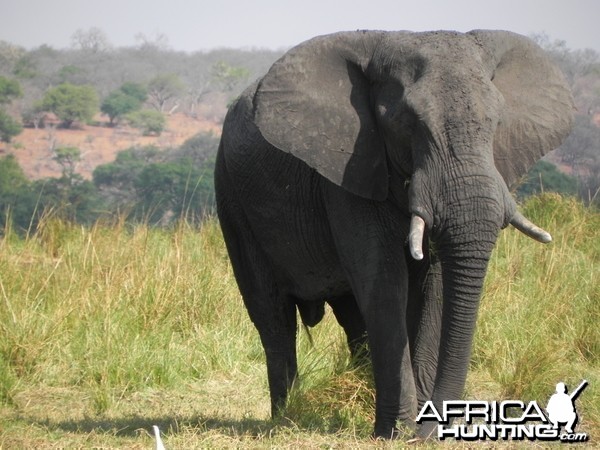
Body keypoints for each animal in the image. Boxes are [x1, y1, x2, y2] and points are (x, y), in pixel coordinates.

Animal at [213, 29, 576, 440]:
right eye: (407, 124)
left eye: (497, 123)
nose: (435, 426)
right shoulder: (349, 168)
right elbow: (384, 281)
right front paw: (398, 433)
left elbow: (434, 284)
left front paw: (419, 429)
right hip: (231, 198)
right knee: (273, 318)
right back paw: (287, 417)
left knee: (352, 316)